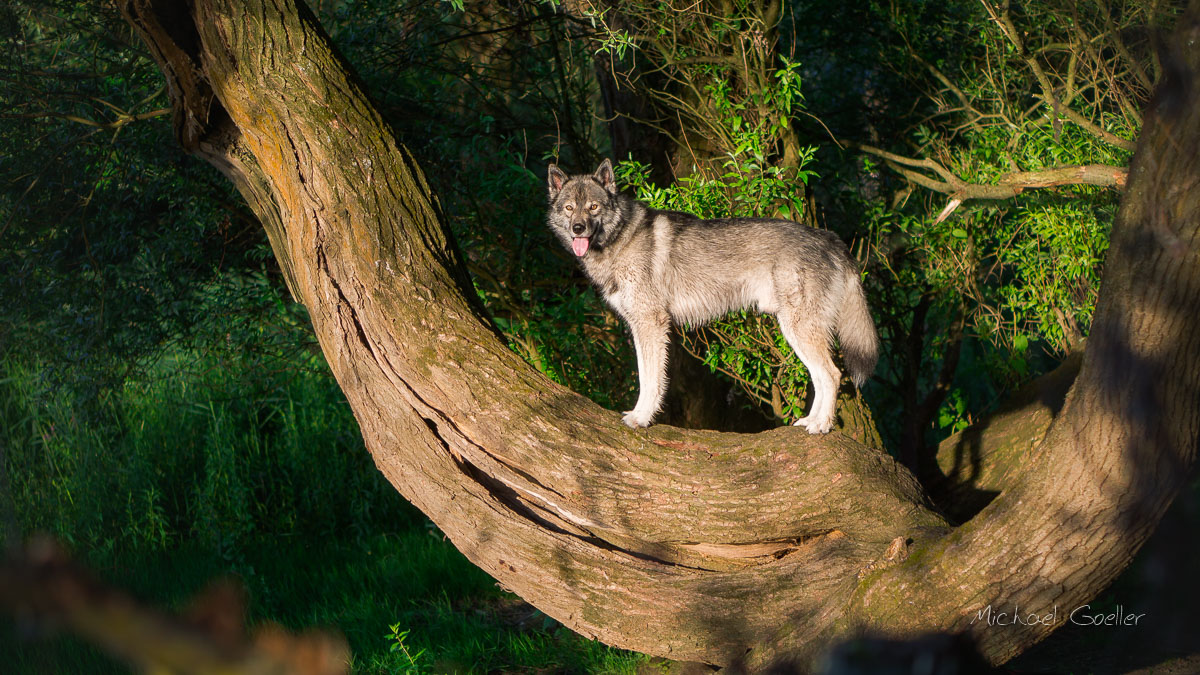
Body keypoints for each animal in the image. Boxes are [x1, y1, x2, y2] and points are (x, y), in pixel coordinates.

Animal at [549, 158, 878, 429]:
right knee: (821, 377)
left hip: (798, 330)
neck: (620, 239)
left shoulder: (650, 325)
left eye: (593, 207)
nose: (578, 228)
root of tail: (831, 239)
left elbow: (650, 380)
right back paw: (812, 421)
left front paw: (641, 418)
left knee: (832, 375)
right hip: (797, 332)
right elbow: (648, 377)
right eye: (569, 208)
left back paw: (821, 425)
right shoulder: (642, 327)